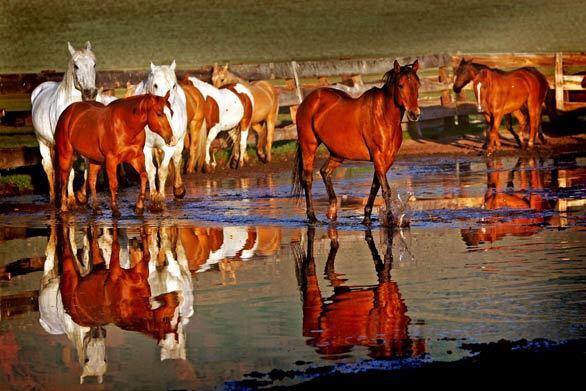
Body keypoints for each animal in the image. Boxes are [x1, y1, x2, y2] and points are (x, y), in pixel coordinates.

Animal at [31, 42, 113, 208]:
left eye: (94, 64)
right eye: (76, 66)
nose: (90, 93)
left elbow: (87, 170)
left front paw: (82, 195)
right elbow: (71, 172)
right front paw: (71, 199)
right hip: (42, 141)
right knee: (48, 166)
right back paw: (53, 198)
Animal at [133, 62, 188, 205]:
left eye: (173, 85)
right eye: (155, 85)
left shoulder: (169, 146)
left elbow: (163, 170)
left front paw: (161, 196)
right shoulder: (146, 147)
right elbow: (151, 170)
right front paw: (153, 195)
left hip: (179, 142)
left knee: (176, 160)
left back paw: (178, 189)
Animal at [292, 61, 420, 227]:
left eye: (417, 85)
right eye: (400, 85)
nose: (414, 114)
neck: (384, 116)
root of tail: (308, 100)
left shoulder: (387, 160)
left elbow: (375, 187)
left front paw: (367, 218)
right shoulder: (378, 157)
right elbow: (385, 189)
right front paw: (391, 219)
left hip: (338, 153)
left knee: (325, 172)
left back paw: (332, 211)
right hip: (309, 146)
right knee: (307, 179)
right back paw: (312, 218)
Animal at [292, 228, 424, 360]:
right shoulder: (384, 285)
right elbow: (383, 259)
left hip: (339, 294)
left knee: (329, 264)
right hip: (314, 301)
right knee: (310, 264)